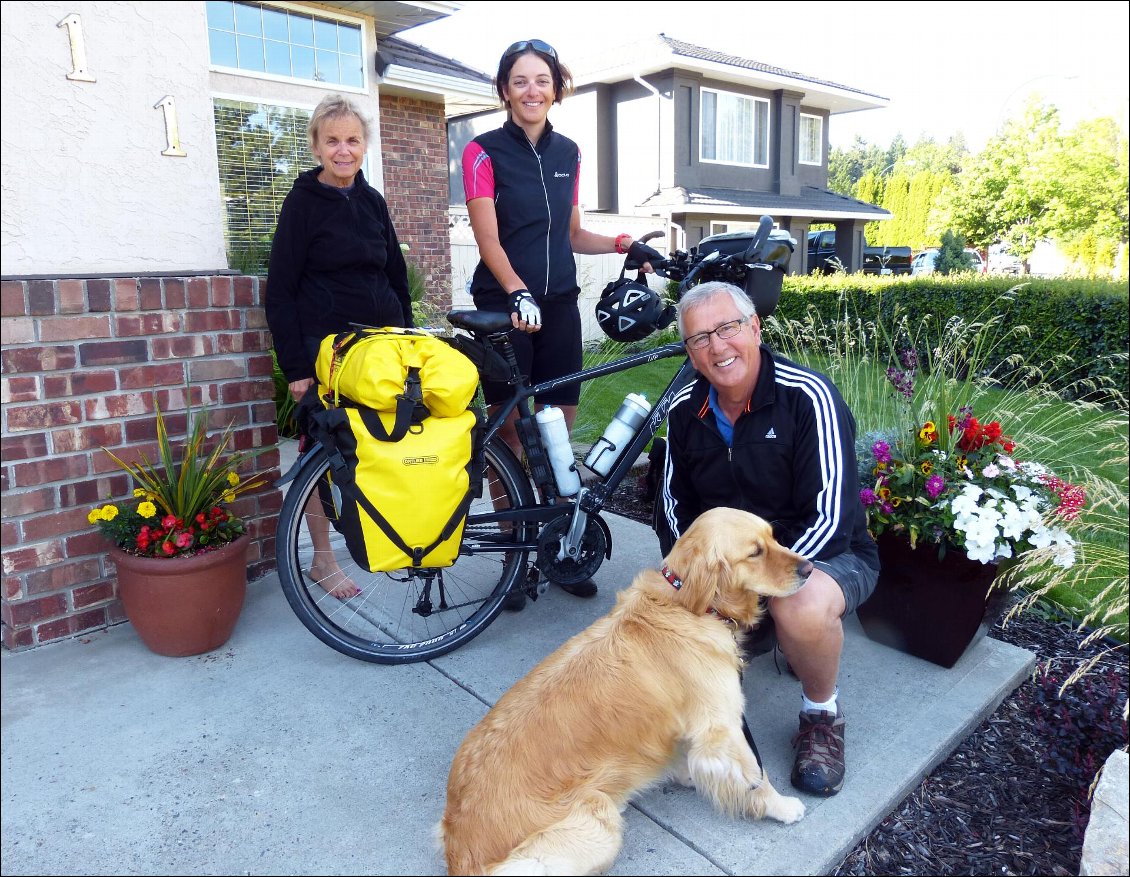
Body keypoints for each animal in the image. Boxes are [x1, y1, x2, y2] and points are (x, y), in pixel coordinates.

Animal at [438, 504, 813, 872]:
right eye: (755, 552)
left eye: (774, 536)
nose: (809, 568)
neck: (688, 603)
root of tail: (460, 852)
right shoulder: (722, 725)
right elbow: (756, 774)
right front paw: (781, 806)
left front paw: (688, 773)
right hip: (597, 821)